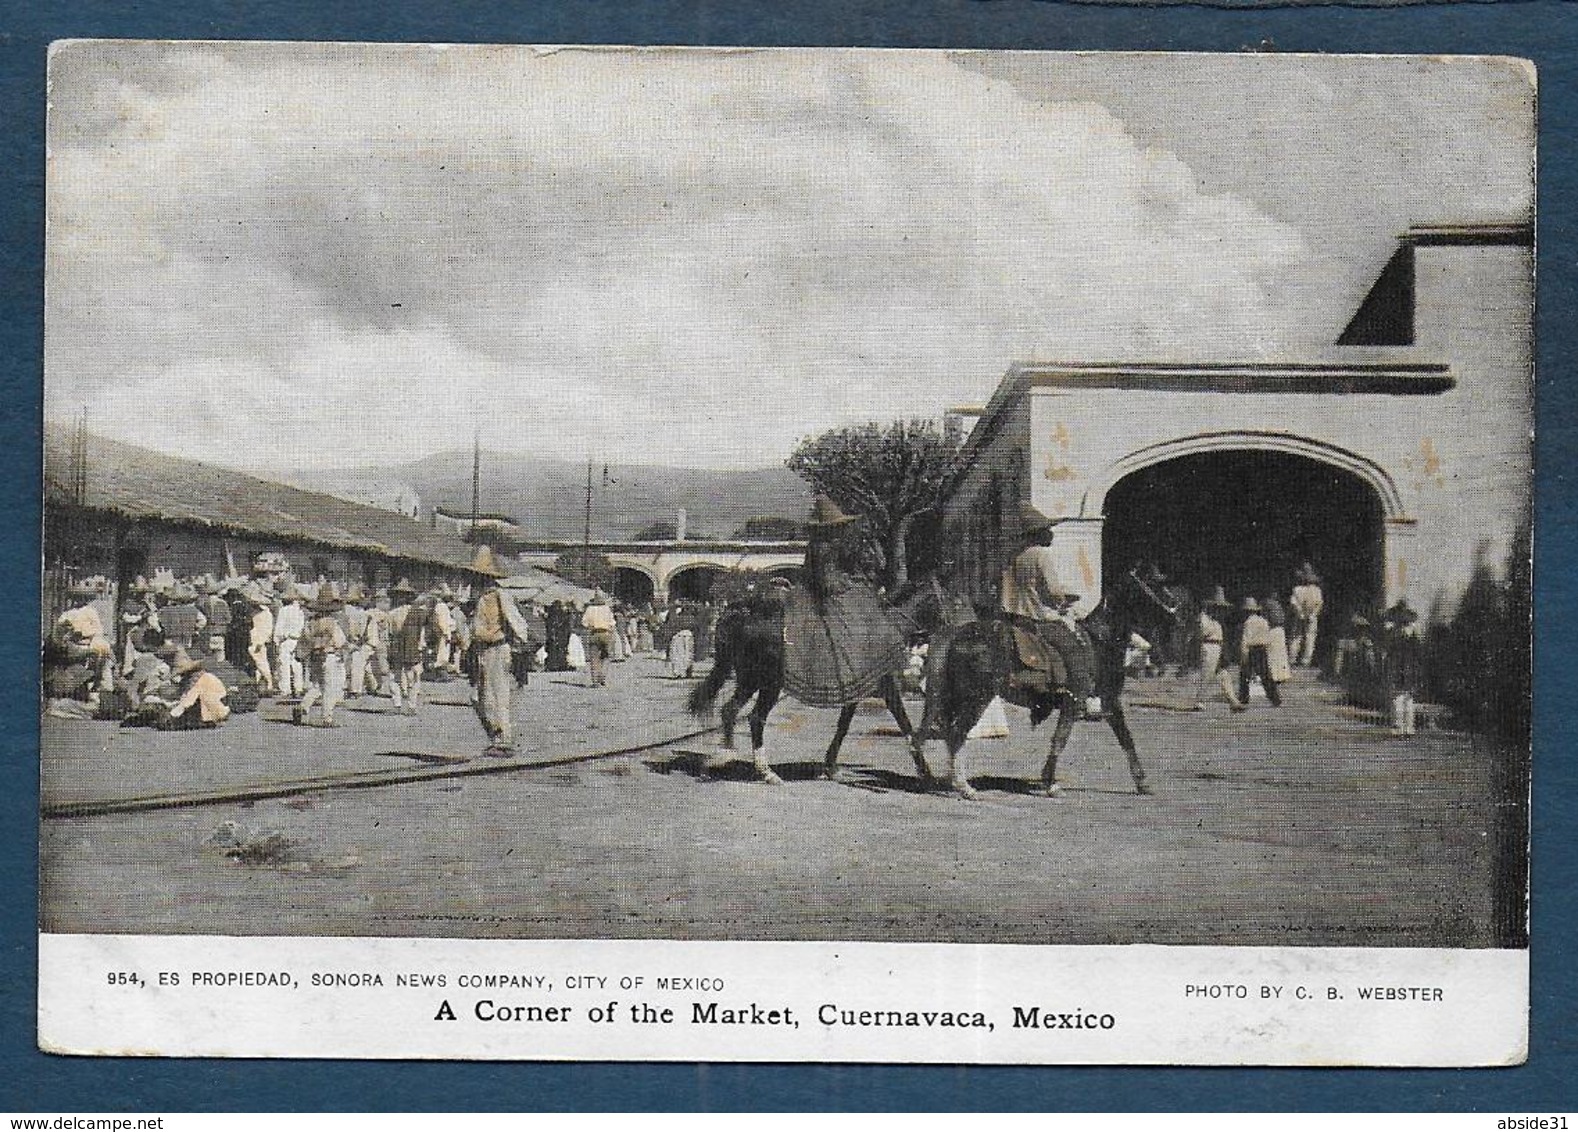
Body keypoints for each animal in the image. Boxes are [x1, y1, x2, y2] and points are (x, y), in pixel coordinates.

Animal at [684, 577, 927, 783]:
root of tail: (742, 611)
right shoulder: (886, 685)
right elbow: (904, 722)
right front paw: (925, 772)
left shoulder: (854, 689)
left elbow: (843, 725)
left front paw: (829, 768)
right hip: (766, 682)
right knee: (753, 717)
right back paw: (764, 771)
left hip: (750, 679)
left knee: (730, 710)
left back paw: (720, 760)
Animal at [921, 562, 1186, 795]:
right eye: (1155, 583)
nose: (1178, 613)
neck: (1099, 641)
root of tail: (958, 632)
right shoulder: (1077, 701)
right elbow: (1061, 738)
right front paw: (1049, 783)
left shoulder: (1109, 702)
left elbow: (1125, 739)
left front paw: (1142, 783)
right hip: (977, 698)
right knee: (957, 733)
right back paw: (964, 787)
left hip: (958, 697)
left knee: (951, 733)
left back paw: (952, 781)